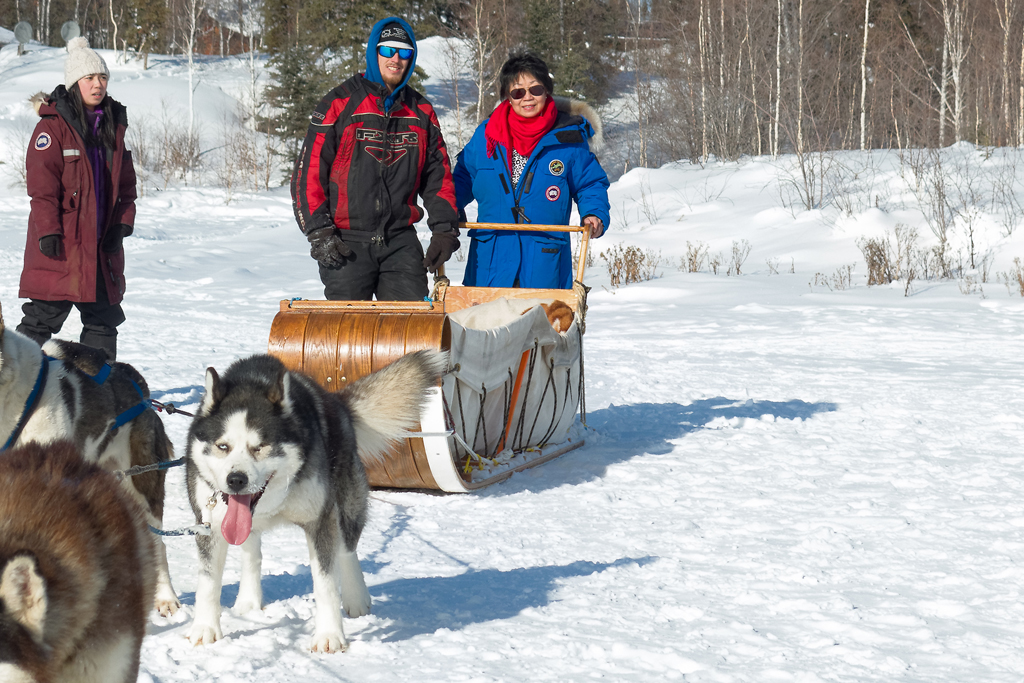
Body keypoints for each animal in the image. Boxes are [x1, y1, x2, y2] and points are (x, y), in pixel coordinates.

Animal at [186, 350, 446, 655]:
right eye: (222, 446)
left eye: (260, 447)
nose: (236, 479)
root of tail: (336, 401)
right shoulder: (210, 526)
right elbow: (207, 582)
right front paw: (205, 629)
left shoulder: (321, 521)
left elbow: (326, 583)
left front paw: (329, 636)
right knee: (252, 552)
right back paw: (248, 602)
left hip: (347, 504)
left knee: (346, 548)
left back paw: (357, 598)